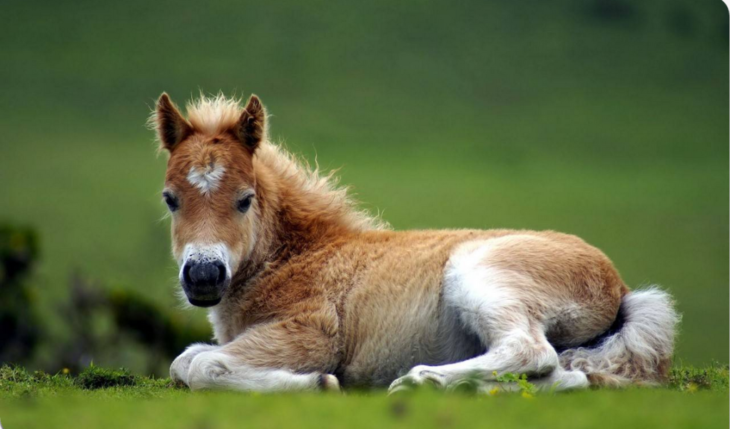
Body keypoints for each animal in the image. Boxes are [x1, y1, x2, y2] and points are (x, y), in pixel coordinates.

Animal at [152, 93, 676, 392]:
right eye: (170, 199)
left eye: (244, 200)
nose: (203, 276)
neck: (299, 255)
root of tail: (620, 287)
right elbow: (186, 360)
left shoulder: (307, 333)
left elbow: (200, 366)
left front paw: (318, 383)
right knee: (565, 376)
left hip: (479, 273)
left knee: (532, 352)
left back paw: (420, 380)